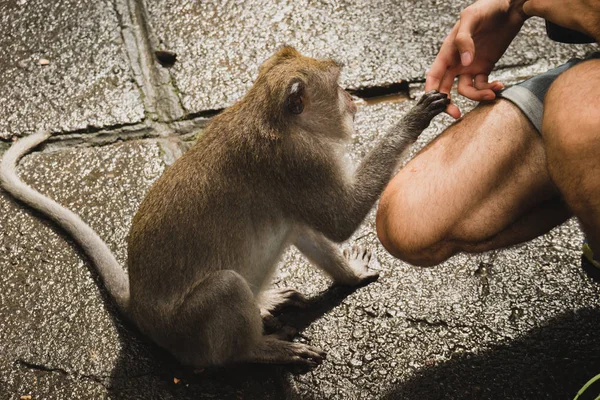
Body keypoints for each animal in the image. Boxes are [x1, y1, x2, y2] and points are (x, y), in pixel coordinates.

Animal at [0, 46, 450, 368]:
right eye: (338, 85)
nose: (353, 99)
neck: (270, 114)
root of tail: (140, 308)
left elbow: (307, 227)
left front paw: (350, 275)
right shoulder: (302, 163)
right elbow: (340, 219)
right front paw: (415, 118)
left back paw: (263, 303)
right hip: (187, 331)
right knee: (225, 290)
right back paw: (256, 350)